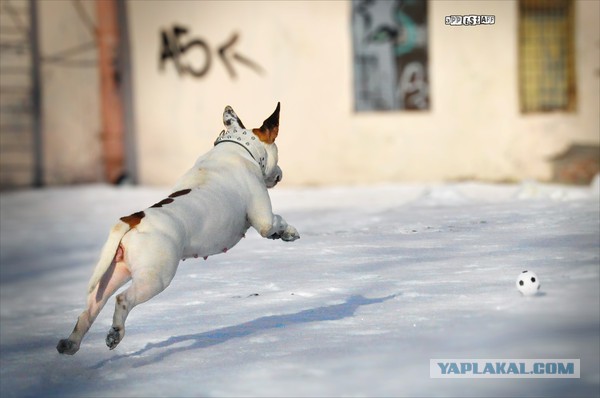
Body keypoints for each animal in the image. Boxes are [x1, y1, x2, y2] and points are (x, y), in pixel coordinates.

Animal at [58, 102, 298, 354]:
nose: (280, 173)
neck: (238, 147)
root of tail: (133, 219)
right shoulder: (263, 219)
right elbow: (274, 221)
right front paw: (287, 232)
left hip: (112, 275)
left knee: (89, 310)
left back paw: (70, 344)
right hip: (154, 279)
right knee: (123, 300)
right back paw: (115, 333)